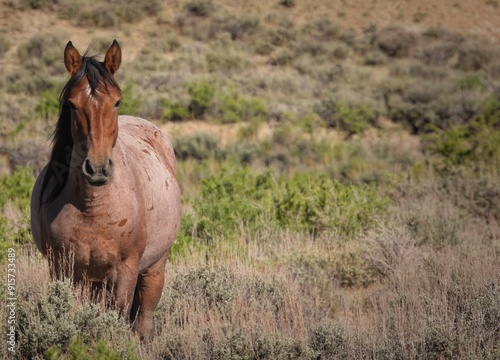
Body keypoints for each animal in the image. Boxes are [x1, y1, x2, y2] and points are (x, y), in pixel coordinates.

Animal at [29, 40, 182, 340]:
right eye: (72, 104)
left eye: (117, 101)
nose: (97, 168)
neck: (92, 207)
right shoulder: (62, 269)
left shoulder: (125, 271)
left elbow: (118, 316)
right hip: (94, 280)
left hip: (154, 268)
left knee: (144, 318)